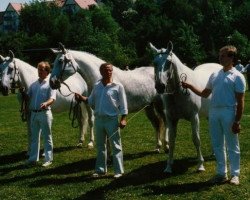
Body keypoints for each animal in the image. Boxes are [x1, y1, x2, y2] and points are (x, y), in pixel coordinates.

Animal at [149, 41, 222, 173]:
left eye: (168, 62)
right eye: (154, 62)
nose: (160, 86)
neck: (180, 92)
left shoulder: (194, 117)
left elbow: (196, 140)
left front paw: (200, 165)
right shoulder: (171, 119)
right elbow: (172, 141)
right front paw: (168, 166)